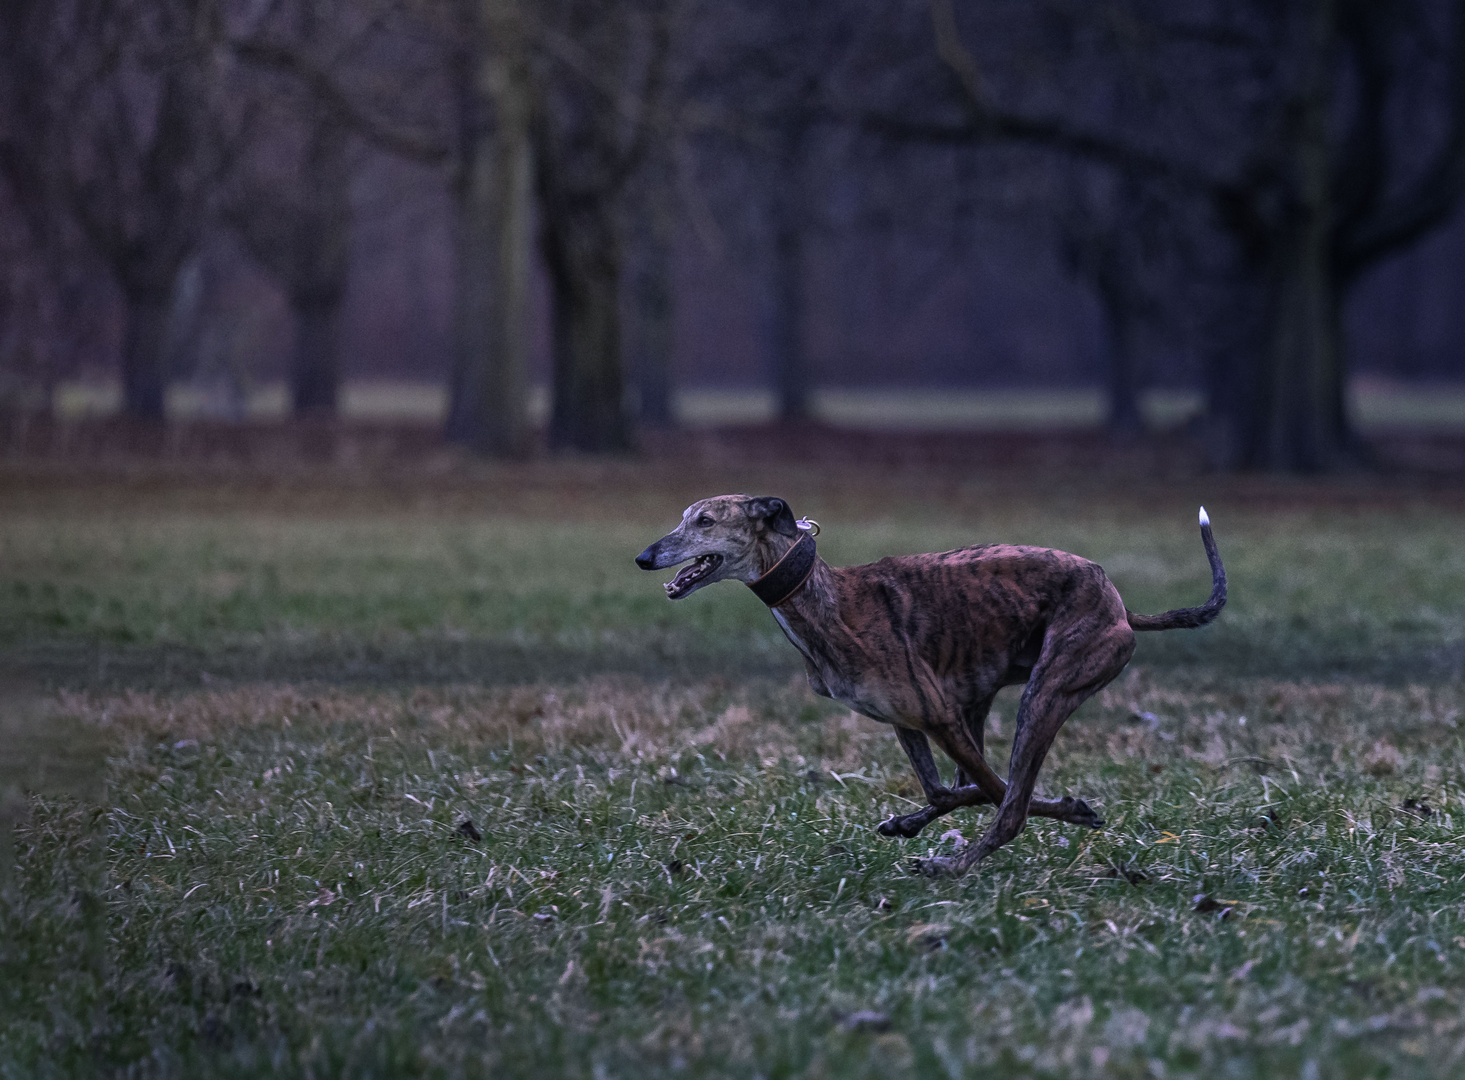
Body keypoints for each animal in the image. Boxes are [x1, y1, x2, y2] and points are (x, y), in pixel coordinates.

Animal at [638, 498, 1224, 879]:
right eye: (685, 517)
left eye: (706, 520)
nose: (644, 558)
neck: (824, 598)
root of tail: (1121, 606)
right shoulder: (911, 719)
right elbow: (949, 789)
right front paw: (910, 820)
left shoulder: (938, 715)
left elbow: (999, 792)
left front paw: (1071, 808)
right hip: (982, 696)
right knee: (981, 787)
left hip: (1044, 693)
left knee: (1010, 805)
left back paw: (952, 864)